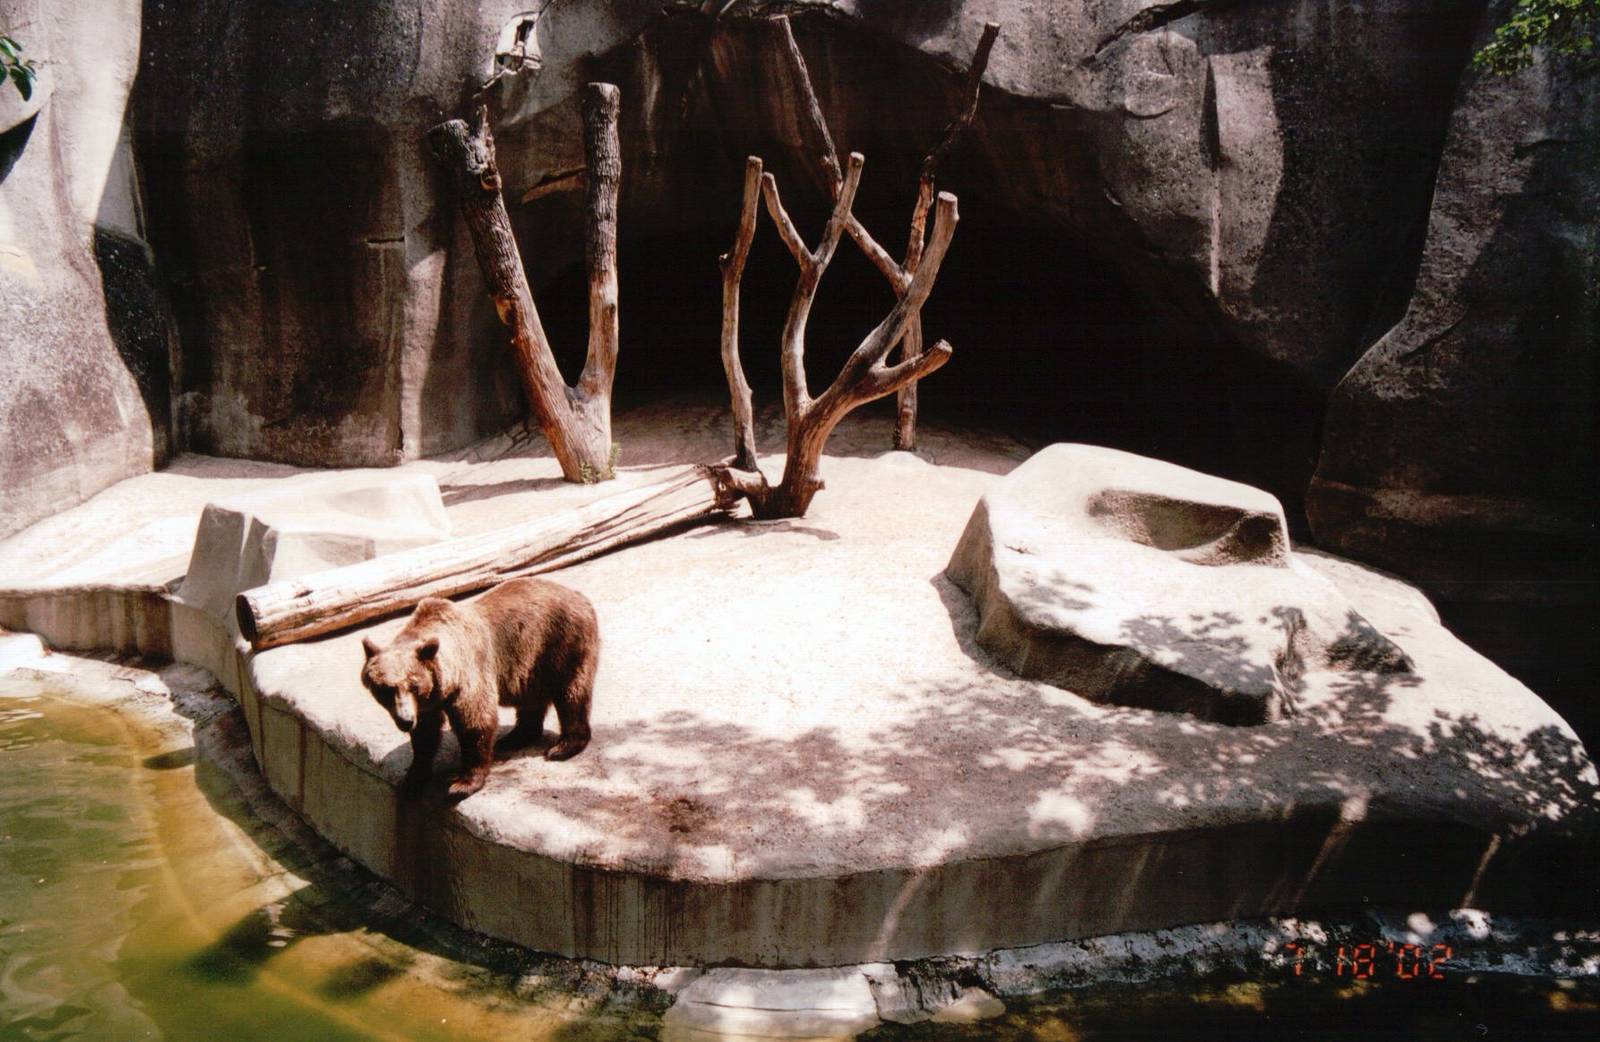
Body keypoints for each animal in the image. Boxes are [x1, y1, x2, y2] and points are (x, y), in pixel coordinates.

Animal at [359, 577, 598, 800]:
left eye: (413, 686)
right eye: (385, 689)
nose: (405, 720)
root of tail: (579, 595)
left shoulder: (469, 676)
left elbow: (475, 723)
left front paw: (462, 784)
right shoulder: (429, 702)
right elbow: (425, 735)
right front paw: (412, 779)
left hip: (562, 643)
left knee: (571, 693)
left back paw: (563, 747)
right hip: (530, 665)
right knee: (531, 701)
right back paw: (515, 737)